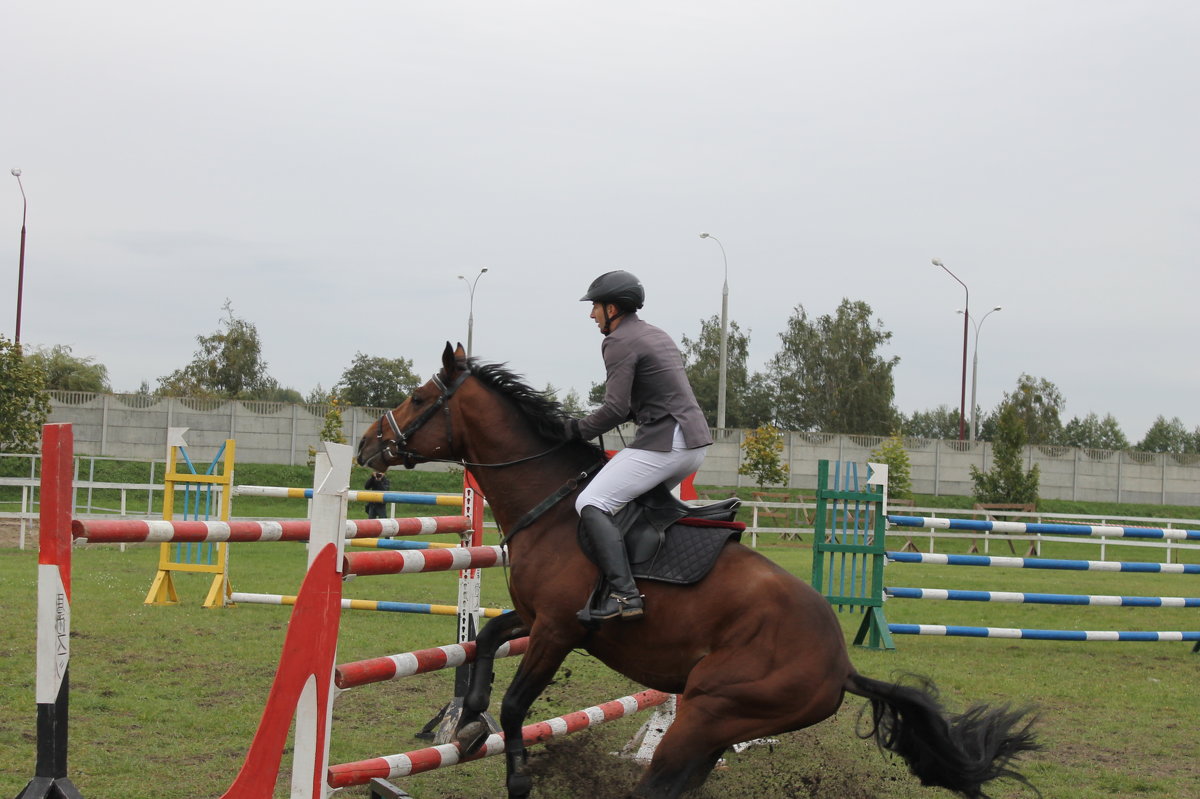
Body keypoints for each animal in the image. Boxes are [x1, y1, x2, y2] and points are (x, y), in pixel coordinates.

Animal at [357, 343, 1041, 796]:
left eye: (419, 398)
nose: (365, 445)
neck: (551, 504)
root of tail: (841, 664)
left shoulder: (557, 630)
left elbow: (517, 704)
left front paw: (518, 773)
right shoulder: (537, 619)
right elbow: (485, 646)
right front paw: (466, 722)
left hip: (705, 714)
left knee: (659, 787)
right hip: (711, 730)